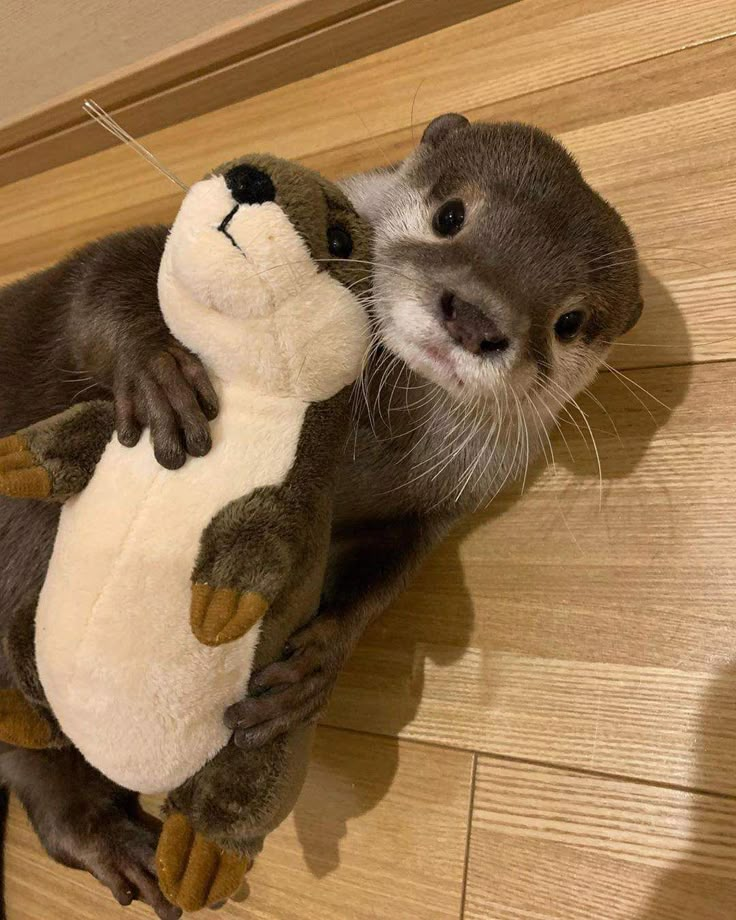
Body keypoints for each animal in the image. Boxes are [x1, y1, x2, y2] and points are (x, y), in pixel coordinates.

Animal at [0, 113, 640, 912]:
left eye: (570, 321)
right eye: (450, 215)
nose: (476, 317)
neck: (370, 439)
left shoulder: (433, 508)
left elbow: (382, 577)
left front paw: (318, 664)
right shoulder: (109, 269)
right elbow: (99, 276)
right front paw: (158, 372)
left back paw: (136, 851)